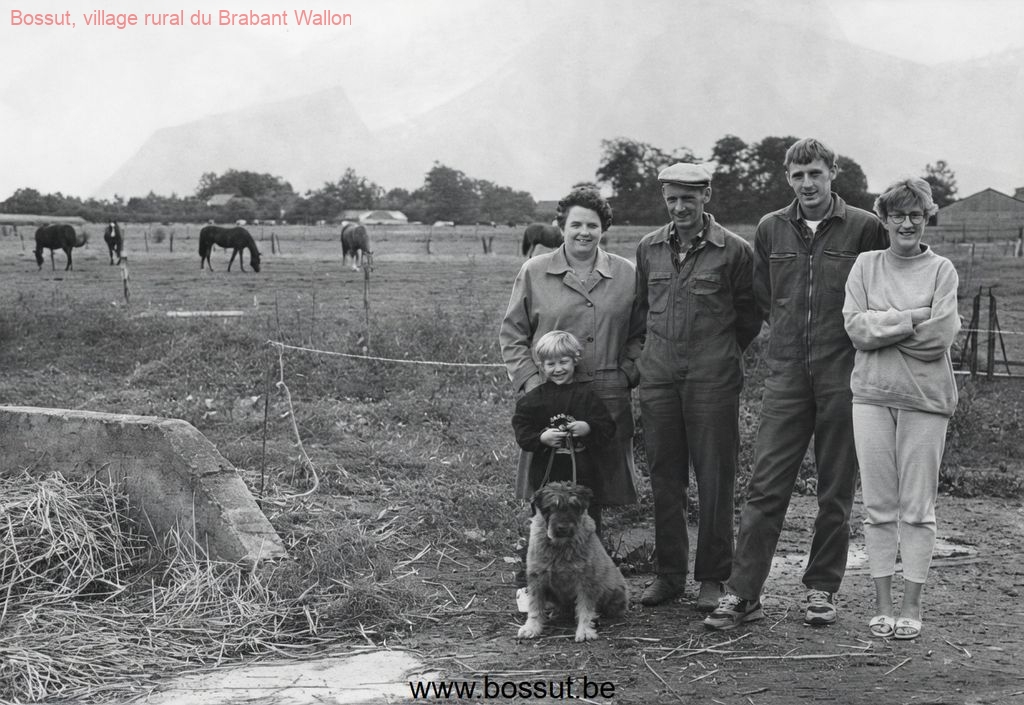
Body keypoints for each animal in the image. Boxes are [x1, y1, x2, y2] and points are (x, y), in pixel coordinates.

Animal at [517, 482, 628, 642]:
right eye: (550, 507)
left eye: (574, 506)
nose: (563, 528)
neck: (560, 547)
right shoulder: (537, 578)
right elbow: (534, 606)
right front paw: (531, 627)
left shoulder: (587, 580)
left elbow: (586, 608)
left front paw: (585, 630)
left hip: (613, 591)